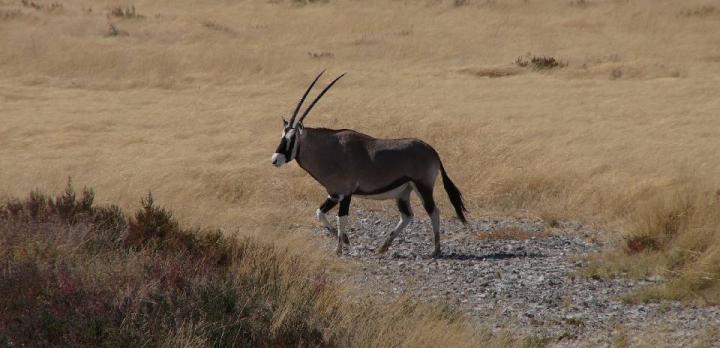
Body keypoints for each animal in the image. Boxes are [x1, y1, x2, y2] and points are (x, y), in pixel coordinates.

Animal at [272, 71, 466, 256]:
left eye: (292, 138)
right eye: (282, 136)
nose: (275, 159)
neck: (332, 150)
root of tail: (433, 151)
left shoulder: (345, 194)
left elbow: (342, 218)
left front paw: (339, 249)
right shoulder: (333, 194)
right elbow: (320, 213)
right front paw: (345, 241)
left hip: (423, 187)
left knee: (434, 212)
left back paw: (436, 250)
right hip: (403, 192)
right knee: (407, 216)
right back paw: (383, 247)